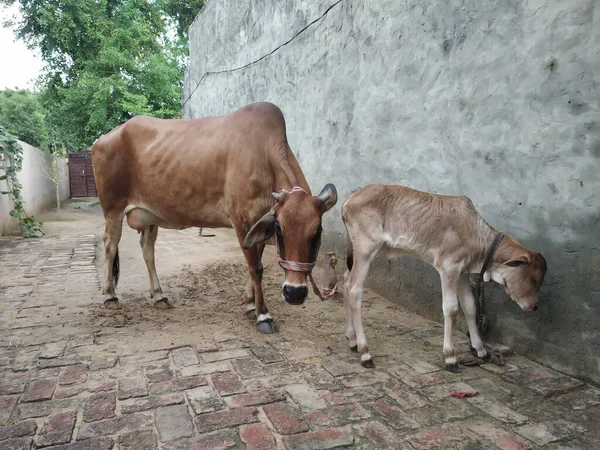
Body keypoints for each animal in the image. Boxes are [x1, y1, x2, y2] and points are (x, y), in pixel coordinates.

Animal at [90, 103, 338, 334]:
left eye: (317, 231)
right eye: (279, 229)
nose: (294, 293)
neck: (264, 155)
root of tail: (104, 137)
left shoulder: (256, 223)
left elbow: (254, 266)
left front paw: (250, 304)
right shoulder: (242, 220)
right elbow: (256, 268)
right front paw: (263, 315)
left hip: (150, 216)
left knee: (147, 250)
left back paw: (159, 295)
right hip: (113, 208)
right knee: (110, 244)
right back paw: (110, 295)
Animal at [340, 183, 548, 370]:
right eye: (533, 278)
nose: (534, 306)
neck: (477, 234)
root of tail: (349, 200)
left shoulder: (463, 273)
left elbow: (470, 306)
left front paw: (481, 350)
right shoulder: (449, 268)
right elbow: (451, 309)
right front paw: (450, 357)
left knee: (345, 282)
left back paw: (352, 340)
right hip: (366, 249)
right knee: (353, 289)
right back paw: (365, 352)